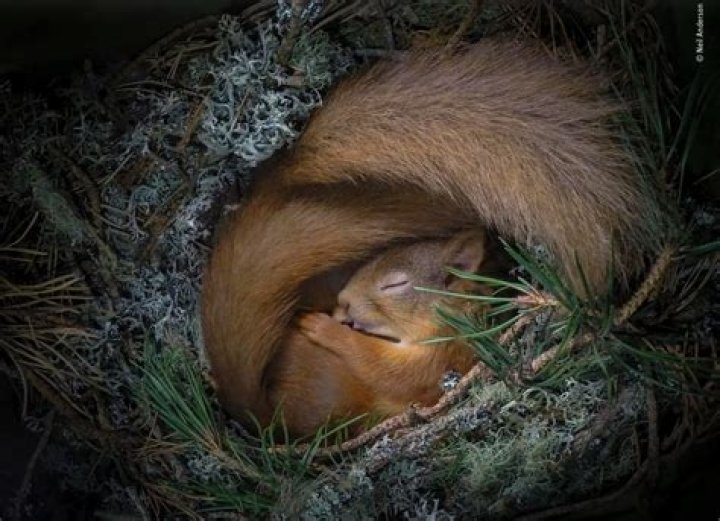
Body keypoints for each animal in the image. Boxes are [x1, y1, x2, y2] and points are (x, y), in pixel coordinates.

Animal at [201, 40, 664, 433]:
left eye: (397, 283)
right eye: (368, 262)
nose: (343, 303)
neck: (456, 311)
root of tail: (261, 417)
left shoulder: (445, 355)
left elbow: (391, 372)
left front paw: (325, 327)